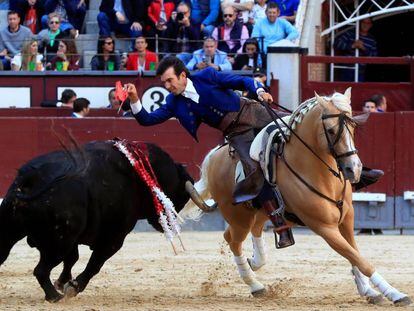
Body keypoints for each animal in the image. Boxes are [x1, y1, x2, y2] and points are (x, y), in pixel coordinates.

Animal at [0, 140, 207, 304]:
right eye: (177, 195)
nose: (168, 222)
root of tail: (31, 178)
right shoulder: (113, 238)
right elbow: (95, 264)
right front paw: (72, 287)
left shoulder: (75, 238)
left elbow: (73, 258)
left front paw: (63, 282)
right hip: (57, 243)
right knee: (41, 270)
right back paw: (54, 297)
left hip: (13, 233)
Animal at [180, 88, 412, 308]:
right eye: (331, 130)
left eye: (353, 127)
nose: (353, 169)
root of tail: (214, 156)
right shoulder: (324, 227)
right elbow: (358, 258)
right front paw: (395, 294)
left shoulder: (347, 219)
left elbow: (354, 253)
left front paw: (368, 290)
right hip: (238, 217)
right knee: (233, 240)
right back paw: (255, 284)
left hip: (261, 212)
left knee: (253, 230)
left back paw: (256, 261)